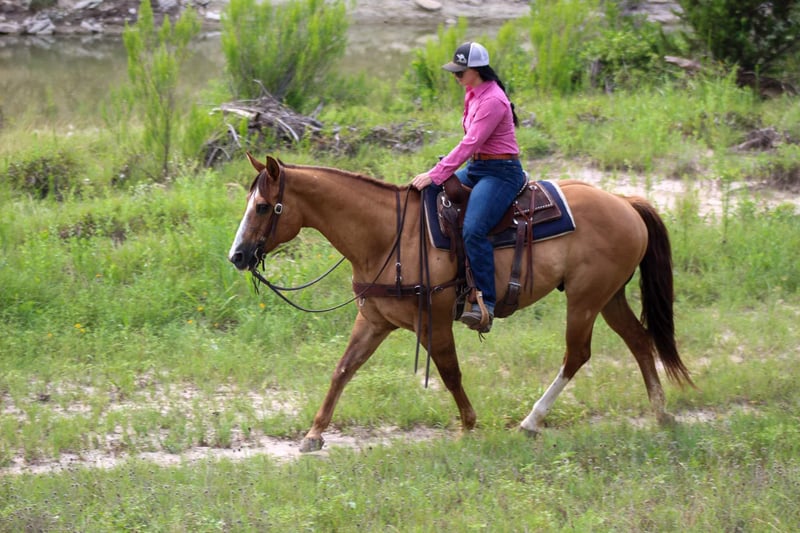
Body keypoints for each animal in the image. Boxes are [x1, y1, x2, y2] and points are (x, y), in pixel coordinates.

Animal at [228, 154, 693, 453]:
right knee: (639, 340)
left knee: (577, 354)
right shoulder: (374, 321)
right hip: (608, 296)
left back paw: (531, 421)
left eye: (264, 206)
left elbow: (450, 373)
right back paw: (660, 413)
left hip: (585, 299)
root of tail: (626, 203)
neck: (389, 235)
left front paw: (468, 426)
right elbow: (343, 370)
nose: (237, 256)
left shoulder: (432, 320)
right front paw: (314, 433)